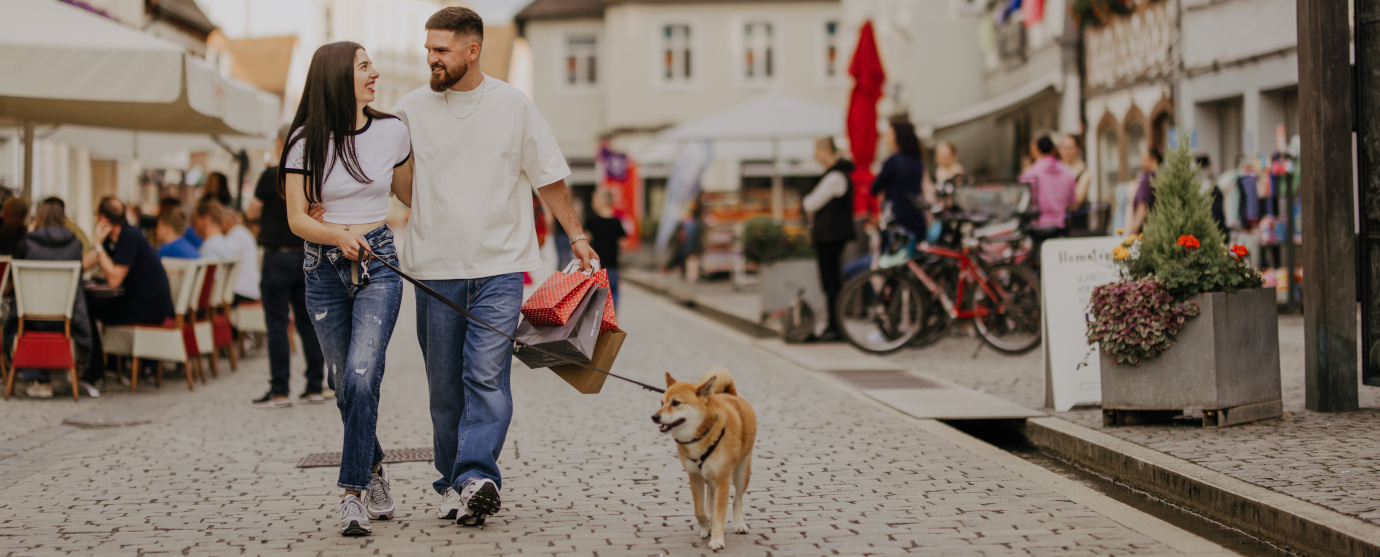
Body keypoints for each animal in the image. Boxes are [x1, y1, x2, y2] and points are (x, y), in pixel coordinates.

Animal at [651, 363, 761, 551]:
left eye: (676, 403)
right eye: (661, 402)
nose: (654, 417)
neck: (701, 436)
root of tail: (731, 395)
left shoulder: (723, 479)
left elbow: (720, 513)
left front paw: (717, 540)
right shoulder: (695, 477)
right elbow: (699, 510)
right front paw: (705, 527)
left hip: (741, 473)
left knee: (737, 500)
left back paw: (740, 524)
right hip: (709, 477)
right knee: (710, 497)